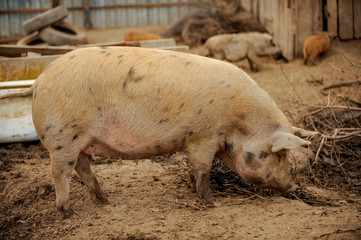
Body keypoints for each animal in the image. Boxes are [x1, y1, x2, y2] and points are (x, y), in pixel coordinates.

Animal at [2, 47, 312, 218]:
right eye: (279, 155)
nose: (292, 186)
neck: (239, 122)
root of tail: (39, 81)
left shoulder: (195, 139)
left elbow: (193, 168)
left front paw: (191, 188)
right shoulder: (204, 136)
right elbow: (203, 167)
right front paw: (210, 202)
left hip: (81, 141)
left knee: (83, 168)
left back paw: (105, 200)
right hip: (64, 136)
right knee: (60, 172)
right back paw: (69, 212)